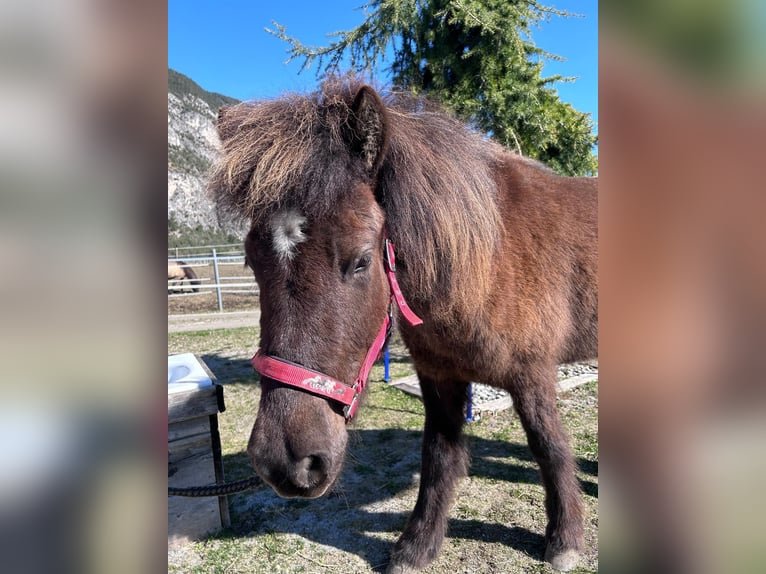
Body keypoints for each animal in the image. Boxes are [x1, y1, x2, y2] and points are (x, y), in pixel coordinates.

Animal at [210, 78, 597, 573]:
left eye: (360, 261)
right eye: (250, 263)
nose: (286, 462)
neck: (487, 260)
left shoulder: (533, 376)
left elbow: (549, 447)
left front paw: (564, 539)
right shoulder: (439, 377)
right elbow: (438, 458)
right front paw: (418, 546)